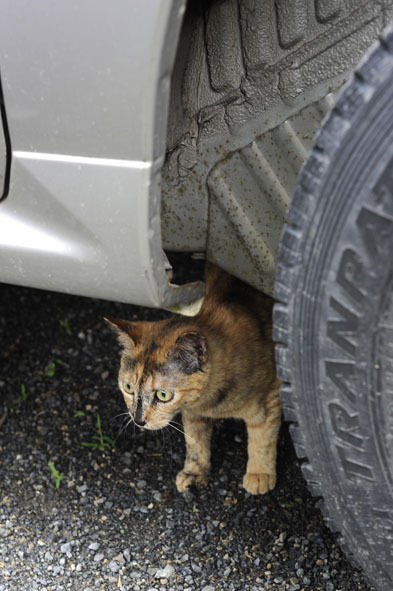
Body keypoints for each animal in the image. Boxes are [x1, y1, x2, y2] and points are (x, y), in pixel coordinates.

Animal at [105, 264, 280, 494]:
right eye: (128, 387)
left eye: (163, 395)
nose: (138, 420)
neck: (211, 403)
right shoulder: (193, 413)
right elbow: (195, 440)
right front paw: (194, 472)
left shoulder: (271, 394)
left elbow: (263, 437)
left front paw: (259, 474)